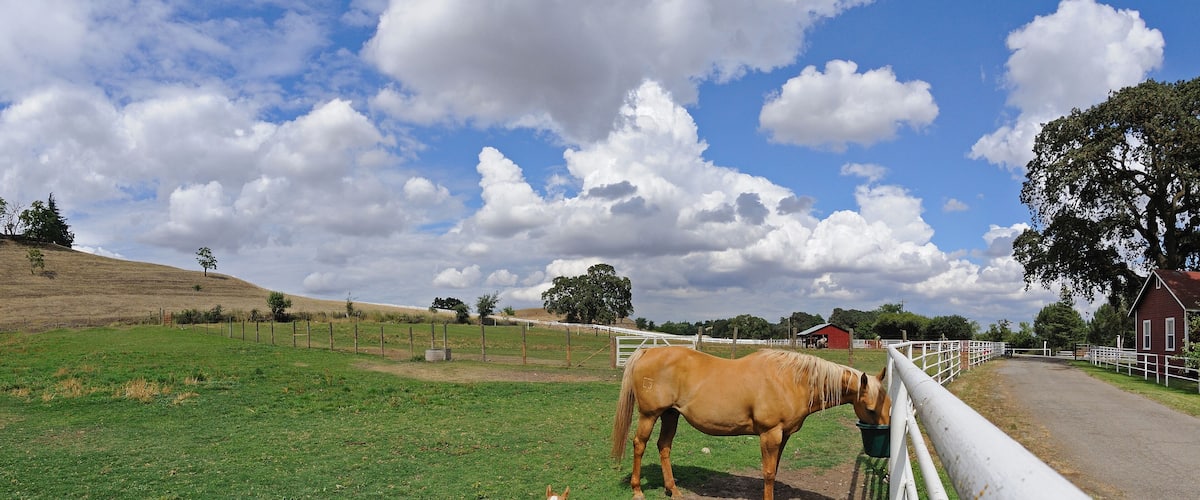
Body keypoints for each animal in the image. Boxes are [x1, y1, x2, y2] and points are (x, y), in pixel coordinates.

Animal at [611, 346, 890, 500]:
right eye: (870, 408)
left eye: (888, 405)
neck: (791, 380)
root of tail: (648, 351)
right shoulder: (770, 434)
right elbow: (768, 473)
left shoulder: (783, 435)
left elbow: (773, 470)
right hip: (650, 415)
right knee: (639, 445)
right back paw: (638, 490)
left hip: (671, 414)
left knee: (664, 447)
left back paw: (674, 490)